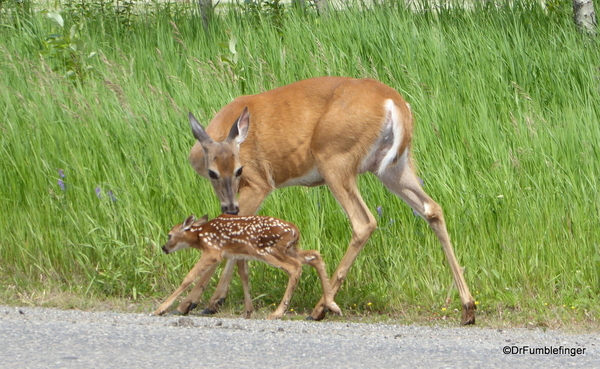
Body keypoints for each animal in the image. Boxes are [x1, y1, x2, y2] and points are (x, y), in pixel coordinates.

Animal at [183, 76, 474, 324]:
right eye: (213, 172)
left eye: (239, 170)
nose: (229, 205)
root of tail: (394, 102)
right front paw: (210, 300)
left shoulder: (259, 183)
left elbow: (231, 233)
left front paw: (197, 301)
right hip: (394, 167)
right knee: (432, 208)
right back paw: (468, 308)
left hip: (335, 158)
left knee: (363, 222)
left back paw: (321, 308)